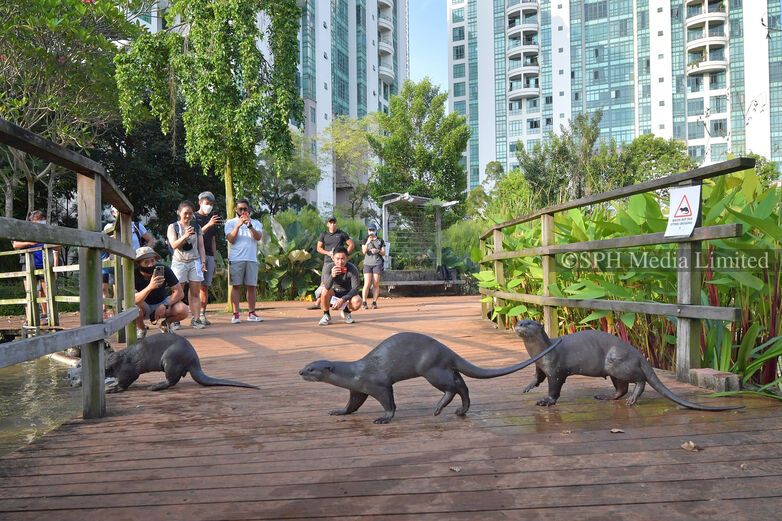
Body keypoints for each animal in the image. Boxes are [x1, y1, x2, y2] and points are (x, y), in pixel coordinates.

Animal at [105, 333, 258, 392]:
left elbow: (126, 381)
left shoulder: (126, 369)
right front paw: (112, 384)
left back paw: (154, 387)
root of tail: (194, 359)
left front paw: (113, 389)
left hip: (170, 359)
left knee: (172, 380)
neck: (116, 360)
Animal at [299, 331, 562, 423]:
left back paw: (438, 408)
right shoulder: (358, 389)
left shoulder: (378, 385)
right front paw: (339, 411)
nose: (300, 371)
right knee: (462, 385)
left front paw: (384, 418)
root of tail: (447, 349)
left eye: (312, 369)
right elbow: (352, 404)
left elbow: (389, 401)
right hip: (443, 368)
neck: (354, 373)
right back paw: (460, 410)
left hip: (431, 370)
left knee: (453, 387)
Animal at [514, 319, 743, 411]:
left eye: (529, 323)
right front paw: (527, 386)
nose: (518, 325)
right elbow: (537, 377)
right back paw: (606, 396)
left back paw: (633, 399)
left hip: (618, 364)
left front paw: (546, 401)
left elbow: (555, 388)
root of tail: (639, 354)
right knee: (621, 389)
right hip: (615, 370)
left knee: (640, 379)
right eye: (519, 321)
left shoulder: (556, 369)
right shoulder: (540, 365)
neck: (541, 352)